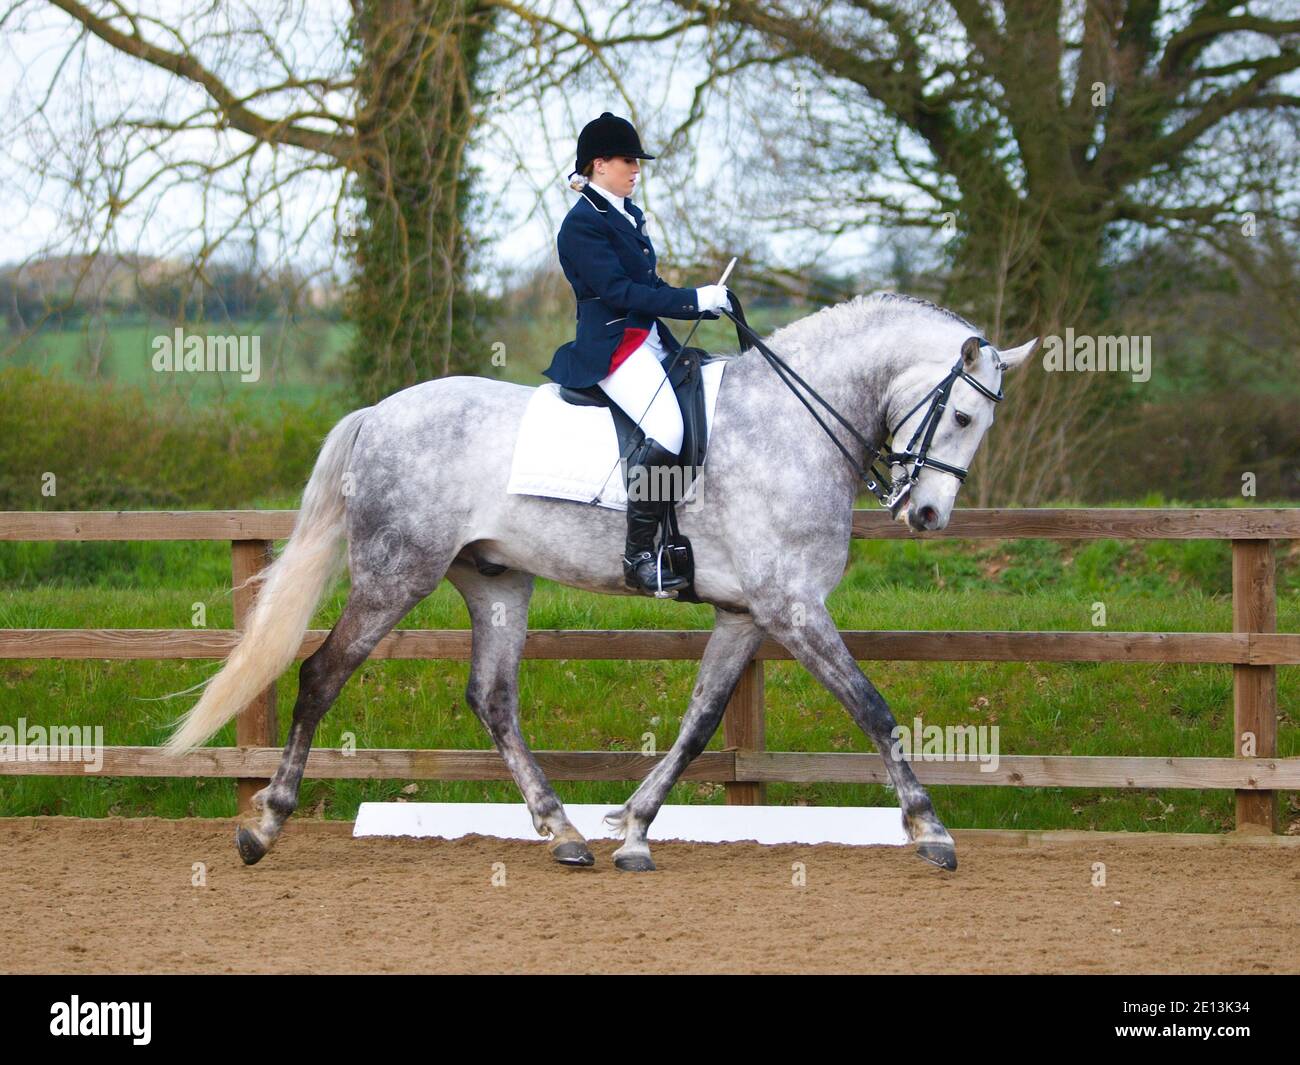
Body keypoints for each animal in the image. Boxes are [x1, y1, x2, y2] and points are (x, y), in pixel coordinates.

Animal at [162, 291, 1036, 873]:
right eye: (962, 417)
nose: (926, 514)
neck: (789, 425)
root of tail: (378, 413)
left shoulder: (748, 614)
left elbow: (699, 723)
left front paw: (635, 827)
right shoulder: (791, 607)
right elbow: (873, 707)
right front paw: (929, 829)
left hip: (496, 582)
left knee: (493, 699)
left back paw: (565, 831)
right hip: (395, 572)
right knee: (321, 674)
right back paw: (264, 826)